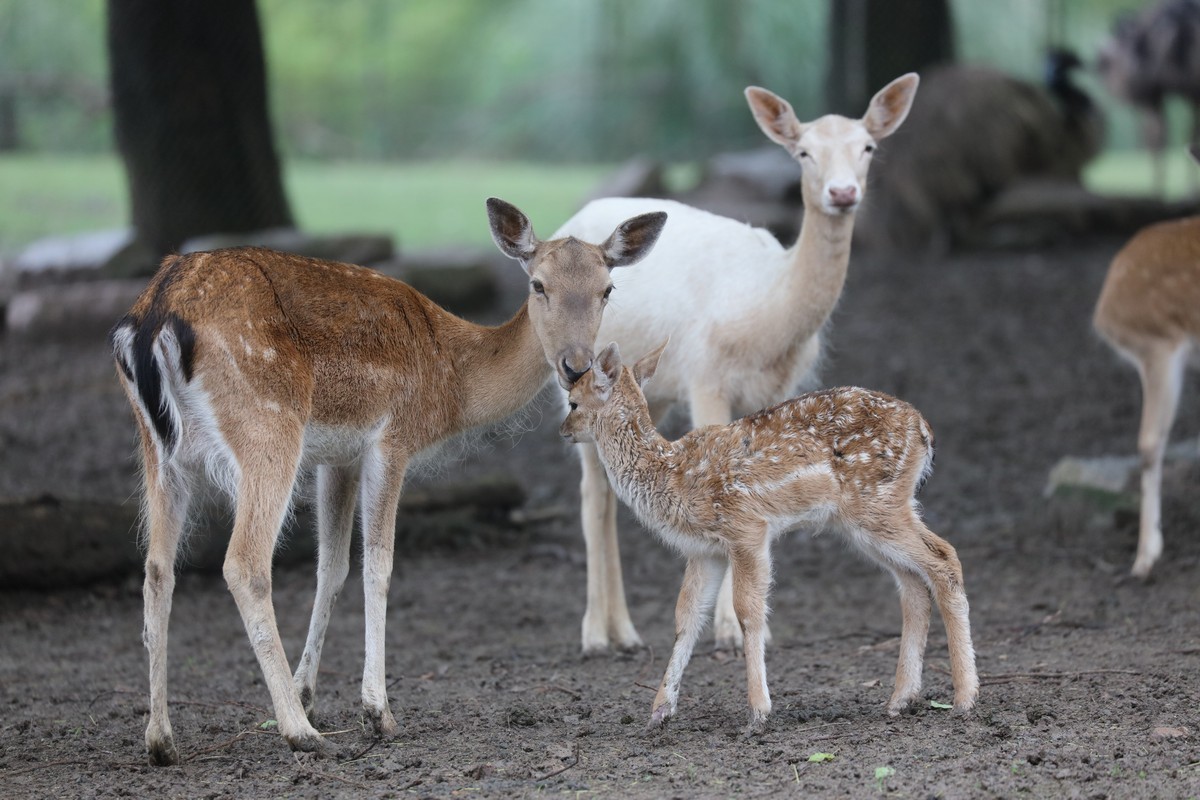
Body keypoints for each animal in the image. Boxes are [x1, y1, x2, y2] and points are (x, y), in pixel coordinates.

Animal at [109, 199, 672, 762]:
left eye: (608, 288)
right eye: (538, 284)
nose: (575, 367)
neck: (451, 380)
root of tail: (153, 318)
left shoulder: (337, 456)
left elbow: (331, 568)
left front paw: (308, 691)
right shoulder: (392, 438)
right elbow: (377, 566)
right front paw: (376, 712)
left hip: (158, 450)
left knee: (156, 567)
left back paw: (161, 739)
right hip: (267, 426)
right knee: (244, 564)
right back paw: (298, 732)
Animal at [559, 340, 974, 734]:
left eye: (573, 401)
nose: (563, 431)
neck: (672, 474)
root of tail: (924, 430)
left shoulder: (747, 528)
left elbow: (747, 611)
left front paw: (758, 713)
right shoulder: (706, 551)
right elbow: (686, 617)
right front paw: (659, 712)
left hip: (878, 504)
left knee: (944, 558)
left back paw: (965, 699)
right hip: (868, 519)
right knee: (913, 583)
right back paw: (901, 700)